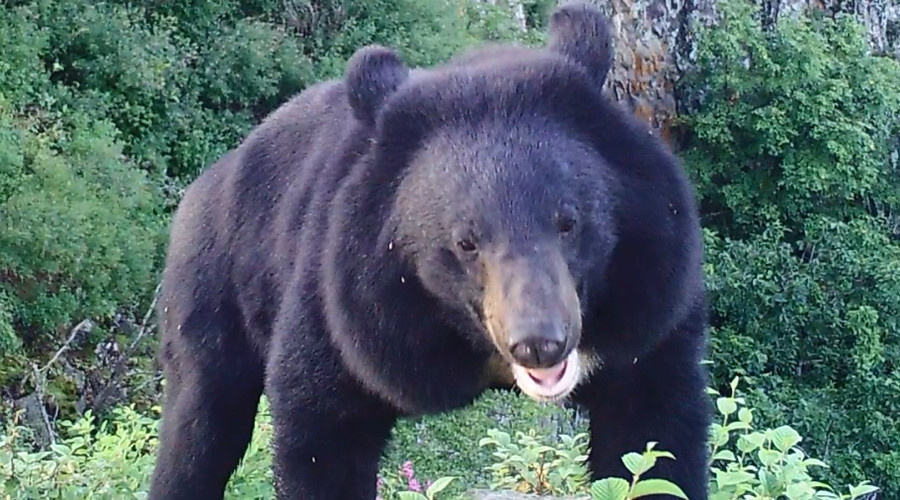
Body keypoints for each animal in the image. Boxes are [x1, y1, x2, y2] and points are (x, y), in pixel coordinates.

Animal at [146, 1, 712, 498]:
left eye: (569, 222)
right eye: (466, 242)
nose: (539, 343)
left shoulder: (652, 296)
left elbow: (655, 435)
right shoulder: (344, 305)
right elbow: (321, 431)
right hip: (211, 289)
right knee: (200, 427)